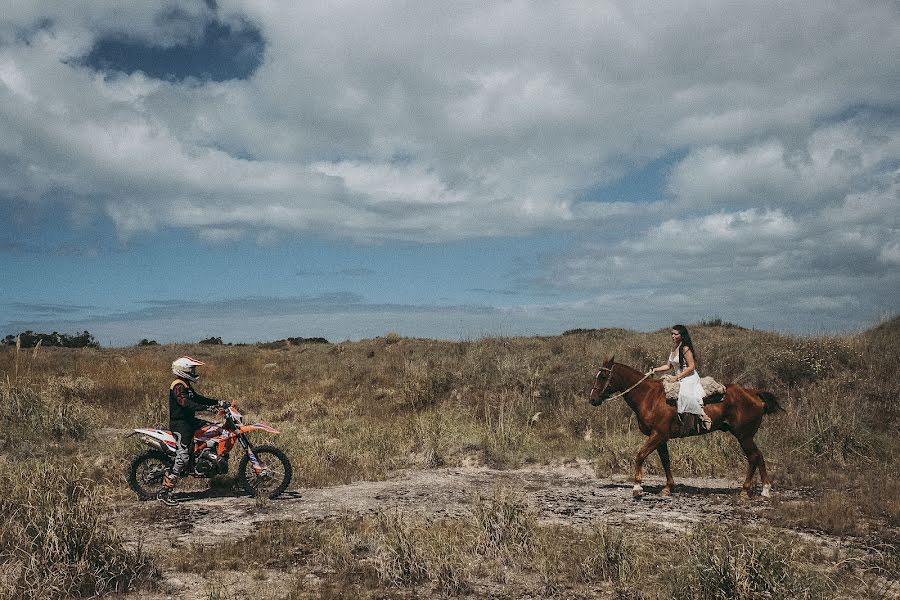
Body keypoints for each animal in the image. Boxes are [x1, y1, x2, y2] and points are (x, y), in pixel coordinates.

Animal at [588, 356, 784, 496]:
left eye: (603, 376)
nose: (593, 399)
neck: (648, 397)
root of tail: (753, 393)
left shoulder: (657, 435)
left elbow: (640, 455)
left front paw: (637, 487)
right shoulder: (661, 438)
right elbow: (665, 461)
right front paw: (668, 488)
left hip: (744, 436)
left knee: (753, 457)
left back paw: (745, 490)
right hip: (747, 436)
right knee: (759, 456)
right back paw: (765, 490)